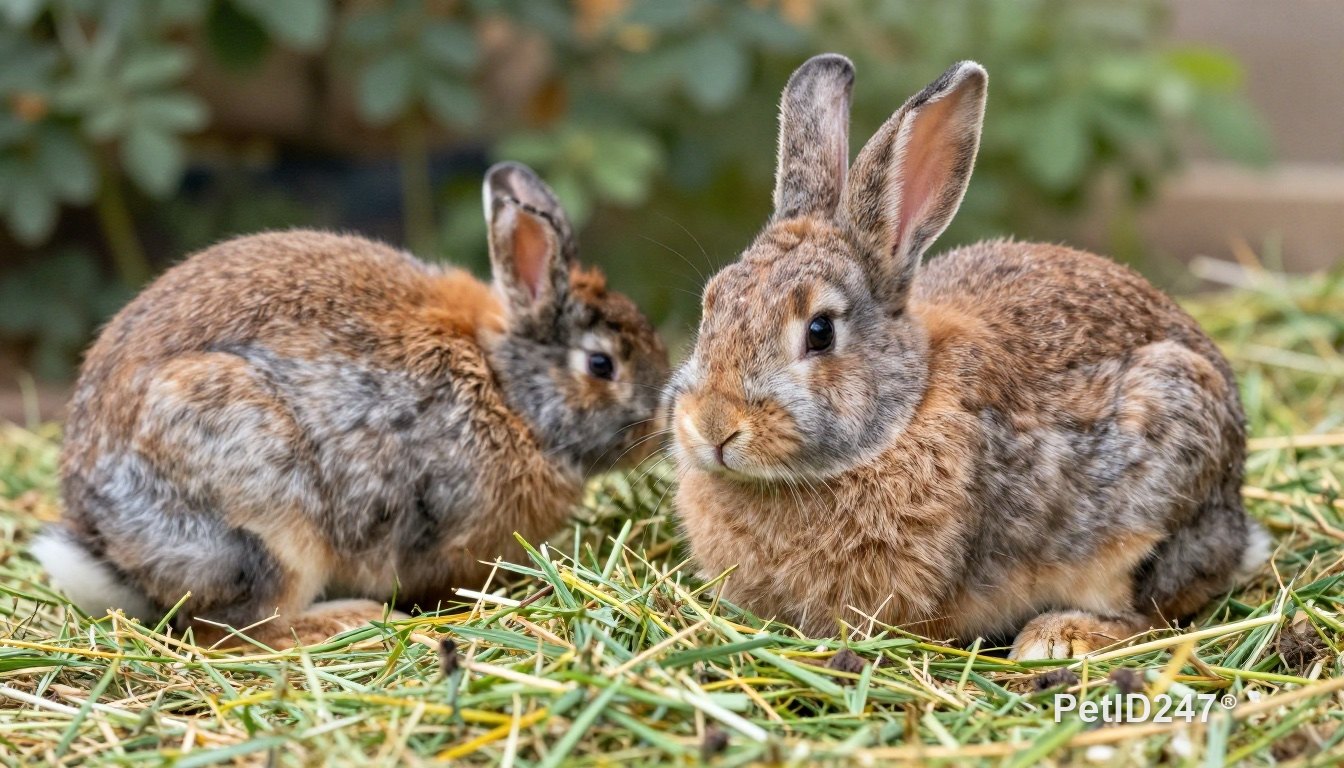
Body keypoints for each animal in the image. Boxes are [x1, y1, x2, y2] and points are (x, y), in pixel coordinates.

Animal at [32, 162, 668, 647]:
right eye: (602, 365)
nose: (658, 425)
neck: (505, 389)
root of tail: (107, 544)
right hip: (266, 515)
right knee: (233, 631)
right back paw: (354, 620)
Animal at [665, 54, 1270, 660]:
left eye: (819, 332)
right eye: (711, 303)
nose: (713, 426)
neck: (904, 408)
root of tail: (1236, 527)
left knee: (1152, 615)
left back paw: (1058, 638)